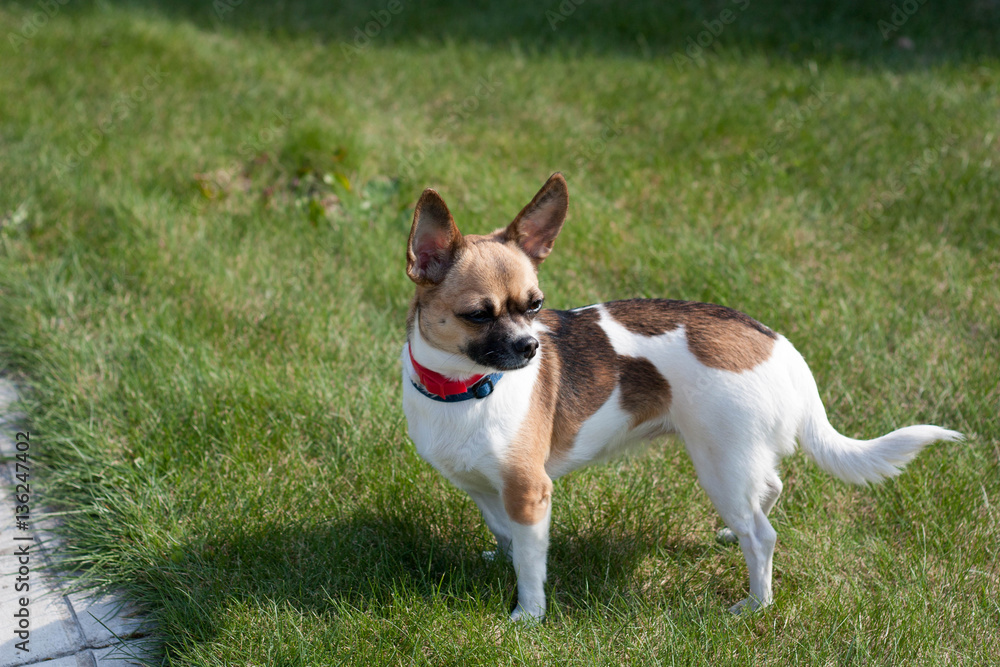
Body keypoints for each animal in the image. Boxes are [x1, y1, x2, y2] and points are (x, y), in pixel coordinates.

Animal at [402, 172, 964, 620]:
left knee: (763, 536)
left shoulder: (530, 490)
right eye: (478, 315)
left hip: (719, 461)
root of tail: (781, 347)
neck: (464, 389)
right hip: (738, 463)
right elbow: (504, 532)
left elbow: (531, 562)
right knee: (768, 491)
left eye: (535, 305)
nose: (531, 346)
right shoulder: (486, 489)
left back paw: (754, 605)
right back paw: (731, 539)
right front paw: (500, 559)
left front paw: (528, 616)